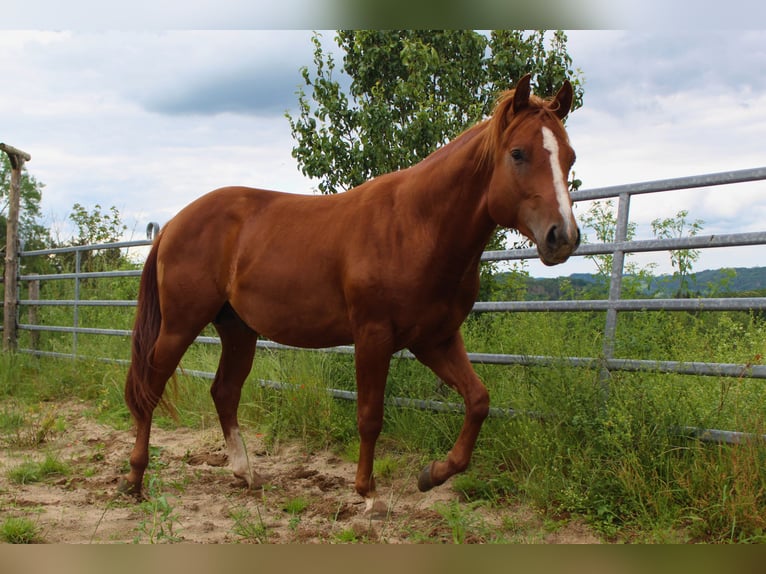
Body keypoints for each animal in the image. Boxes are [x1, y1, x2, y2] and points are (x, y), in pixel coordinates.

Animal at [120, 73, 580, 512]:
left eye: (569, 156)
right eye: (518, 153)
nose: (562, 237)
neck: (416, 226)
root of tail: (174, 223)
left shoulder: (435, 339)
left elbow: (479, 400)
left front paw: (433, 474)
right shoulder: (373, 337)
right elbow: (370, 416)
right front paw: (368, 493)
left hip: (238, 330)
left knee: (224, 392)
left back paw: (245, 473)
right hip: (181, 325)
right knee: (150, 388)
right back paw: (135, 480)